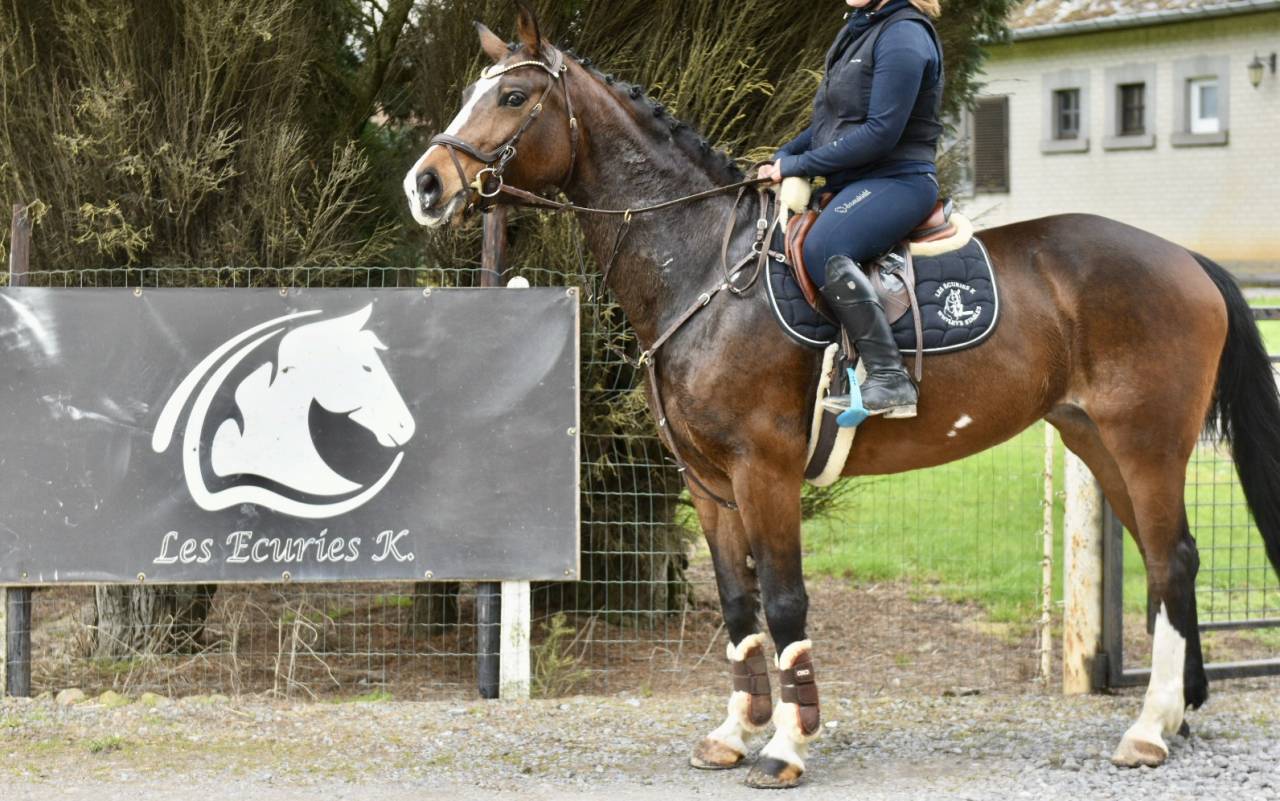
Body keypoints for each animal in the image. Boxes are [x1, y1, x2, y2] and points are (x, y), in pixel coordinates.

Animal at [403, 8, 1280, 789]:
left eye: (514, 96)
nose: (425, 184)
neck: (705, 267)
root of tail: (1185, 259)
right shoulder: (708, 483)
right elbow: (738, 607)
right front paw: (736, 731)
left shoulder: (765, 471)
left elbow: (785, 603)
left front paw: (787, 745)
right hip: (1097, 440)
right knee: (1172, 564)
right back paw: (1177, 712)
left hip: (1147, 443)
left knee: (1170, 558)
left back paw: (1149, 728)